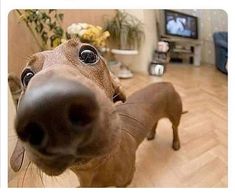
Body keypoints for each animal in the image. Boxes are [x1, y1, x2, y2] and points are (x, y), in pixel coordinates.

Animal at [9, 38, 185, 187]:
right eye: (26, 76)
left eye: (88, 54)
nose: (51, 109)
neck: (95, 168)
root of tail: (167, 83)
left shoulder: (126, 182)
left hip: (175, 116)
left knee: (175, 129)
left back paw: (176, 143)